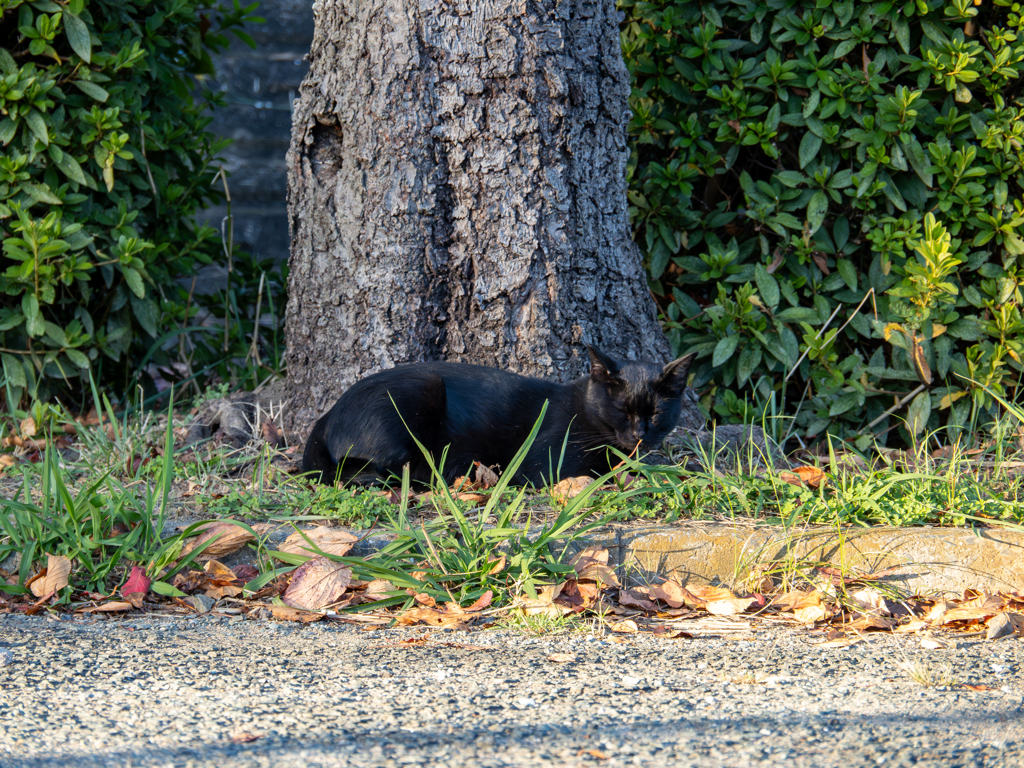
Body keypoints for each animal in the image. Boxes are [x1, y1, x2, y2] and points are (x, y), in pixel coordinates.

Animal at [299, 348, 692, 487]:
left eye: (656, 413)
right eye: (621, 410)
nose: (639, 435)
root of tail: (325, 417)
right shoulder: (546, 466)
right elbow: (599, 474)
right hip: (423, 388)